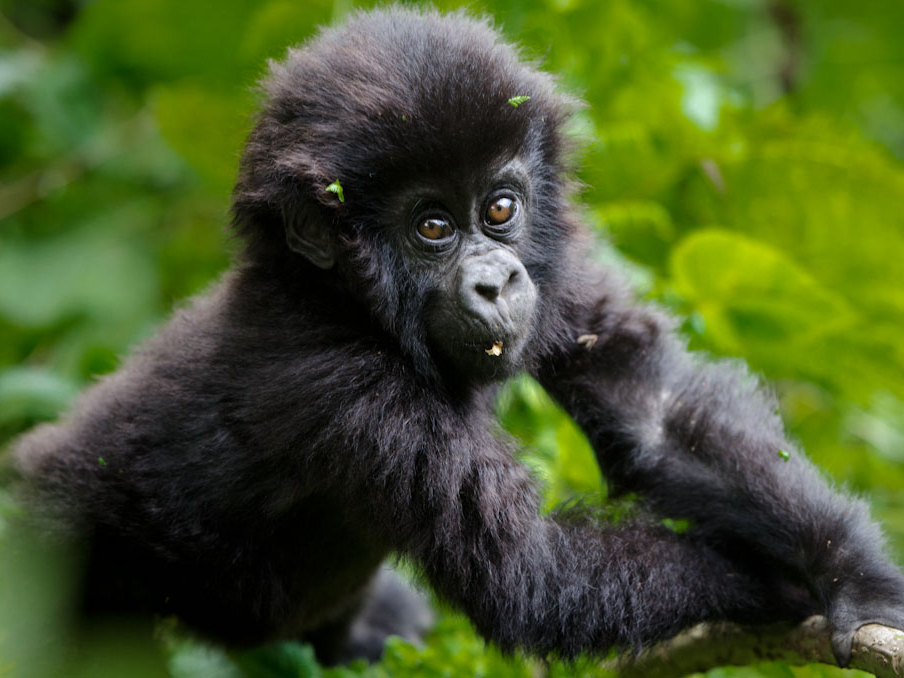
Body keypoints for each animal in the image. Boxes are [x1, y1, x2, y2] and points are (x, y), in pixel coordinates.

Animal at [10, 6, 904, 667]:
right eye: (432, 226)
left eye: (500, 208)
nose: (496, 282)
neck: (330, 297)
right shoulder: (339, 385)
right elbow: (527, 573)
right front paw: (769, 590)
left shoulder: (555, 264)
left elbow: (653, 415)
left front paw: (850, 573)